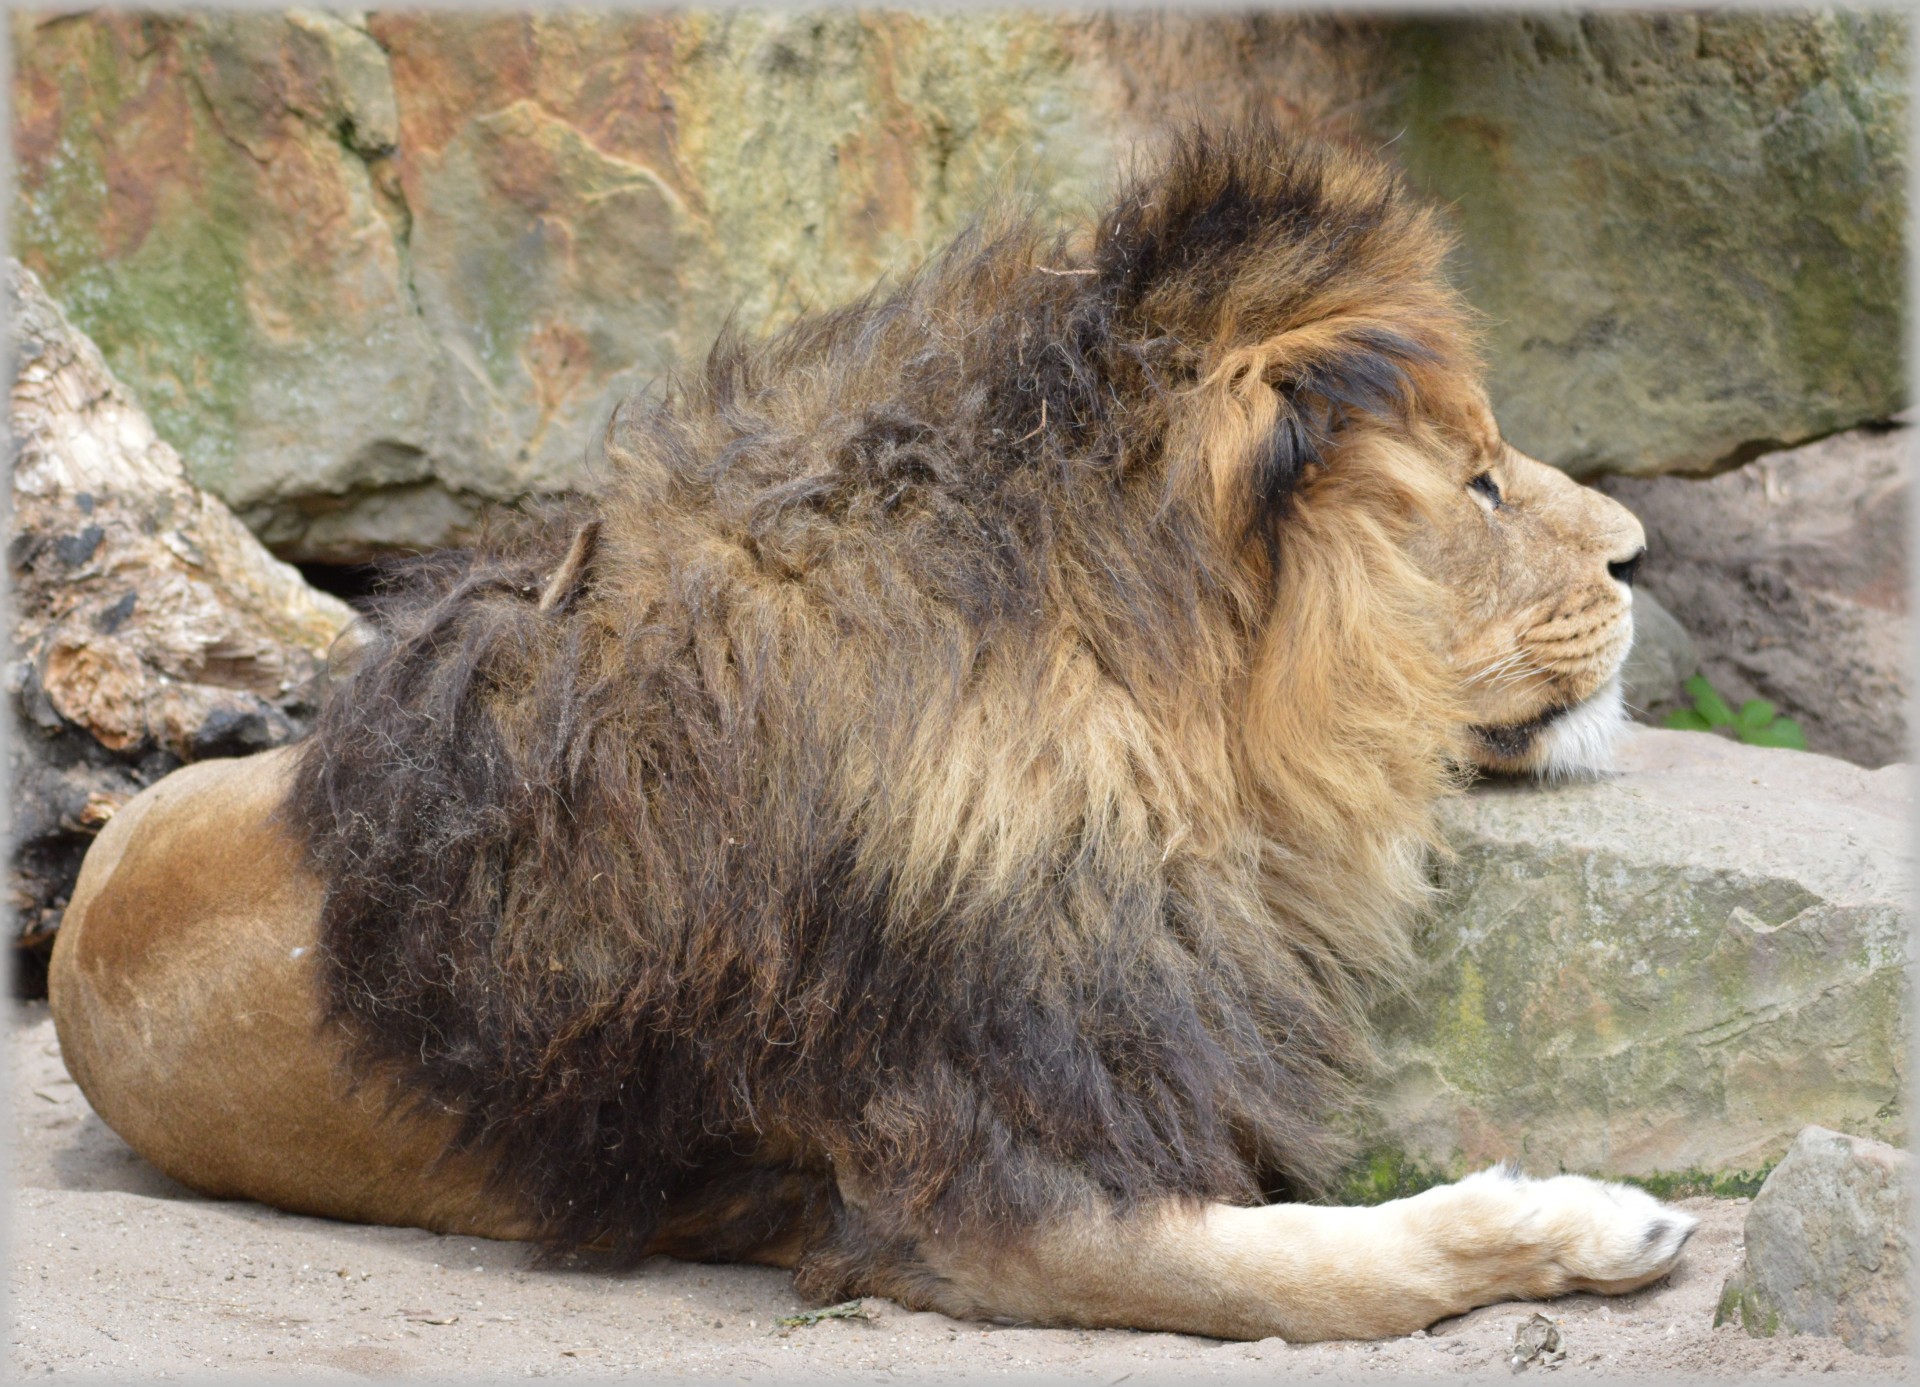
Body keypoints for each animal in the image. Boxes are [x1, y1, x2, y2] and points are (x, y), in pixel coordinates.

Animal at [48, 123, 1697, 1337]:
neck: (1143, 745)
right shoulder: (960, 1196)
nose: (1638, 555)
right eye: (1480, 482)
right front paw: (1595, 1216)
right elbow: (1327, 1273)